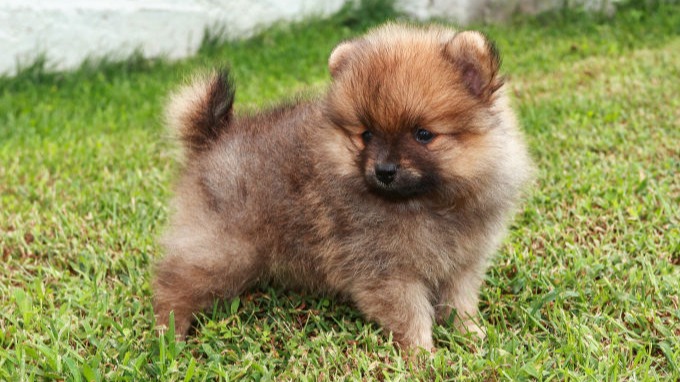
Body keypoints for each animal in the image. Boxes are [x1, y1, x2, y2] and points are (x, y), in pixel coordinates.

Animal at [153, 23, 532, 350]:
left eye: (423, 134)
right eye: (367, 134)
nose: (384, 170)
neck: (428, 204)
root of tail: (211, 138)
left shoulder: (463, 263)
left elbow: (459, 302)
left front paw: (472, 336)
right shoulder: (386, 271)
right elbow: (410, 315)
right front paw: (424, 356)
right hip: (223, 249)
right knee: (173, 282)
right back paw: (168, 334)